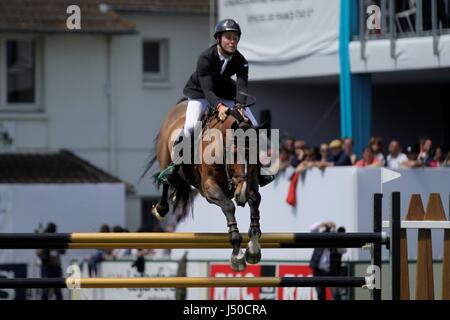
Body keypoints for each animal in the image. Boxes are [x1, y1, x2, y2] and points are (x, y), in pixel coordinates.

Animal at [146, 99, 262, 272]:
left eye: (255, 154)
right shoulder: (209, 189)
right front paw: (237, 253)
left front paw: (254, 247)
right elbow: (229, 206)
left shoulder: (251, 182)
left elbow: (255, 200)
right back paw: (161, 208)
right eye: (235, 153)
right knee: (166, 179)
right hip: (164, 156)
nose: (241, 195)